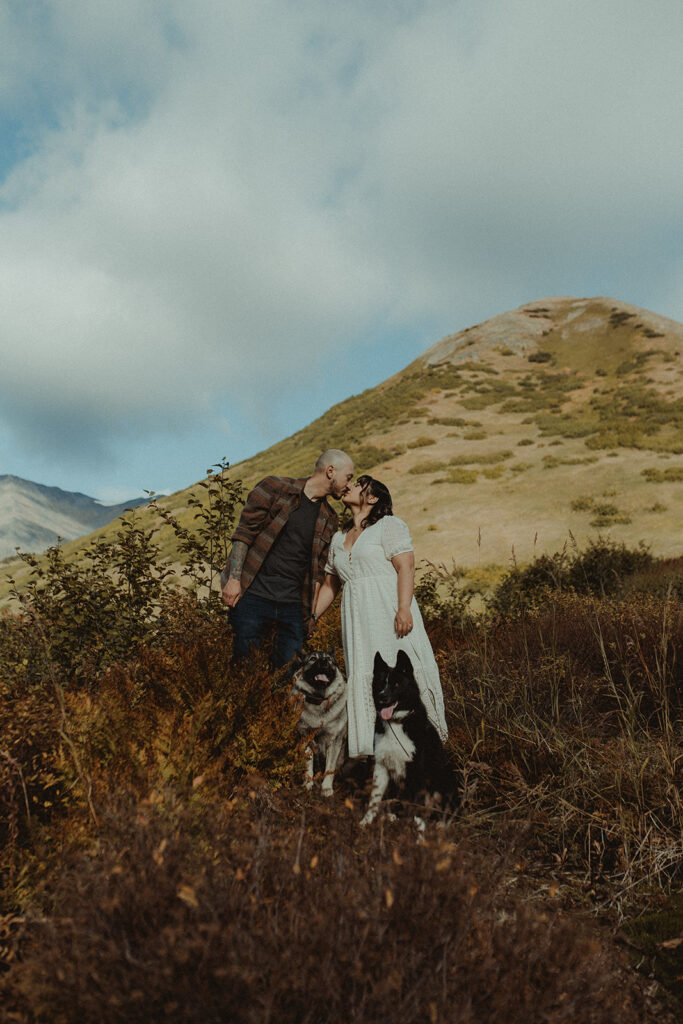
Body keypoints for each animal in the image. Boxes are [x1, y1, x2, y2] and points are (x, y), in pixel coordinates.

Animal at [292, 651, 350, 794]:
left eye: (328, 659)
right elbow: (308, 765)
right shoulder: (306, 738)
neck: (319, 701)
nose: (324, 661)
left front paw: (326, 788)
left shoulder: (334, 741)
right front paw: (308, 783)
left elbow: (329, 768)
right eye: (313, 659)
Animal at [360, 651, 456, 827]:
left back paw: (440, 824)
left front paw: (419, 827)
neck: (397, 722)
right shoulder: (381, 766)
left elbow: (417, 802)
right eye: (380, 683)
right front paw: (365, 822)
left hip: (446, 777)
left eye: (396, 684)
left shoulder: (417, 769)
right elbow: (374, 800)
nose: (382, 696)